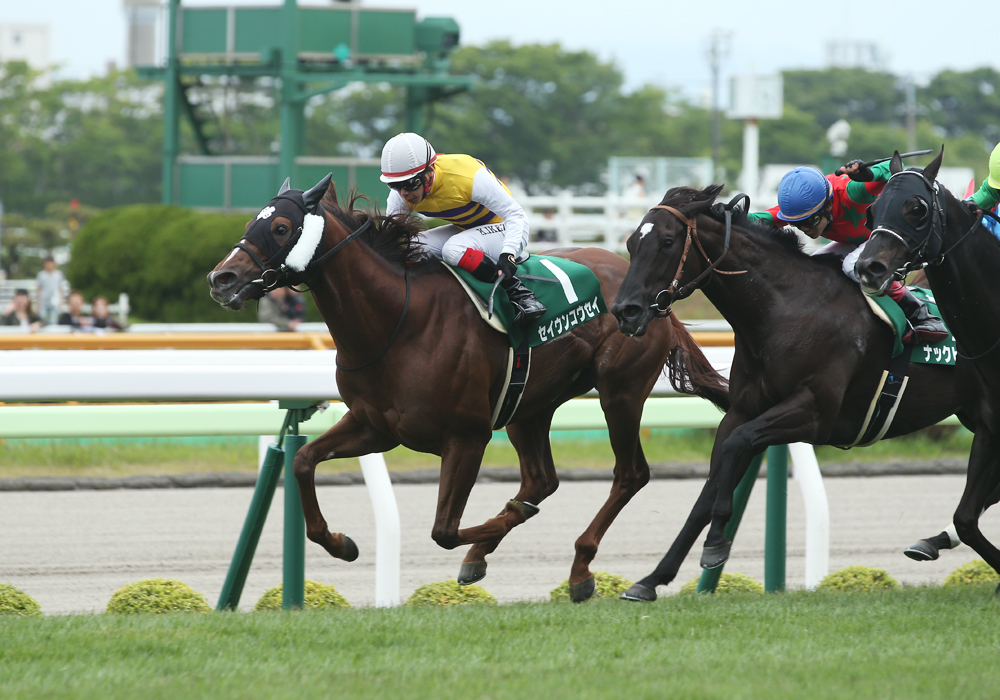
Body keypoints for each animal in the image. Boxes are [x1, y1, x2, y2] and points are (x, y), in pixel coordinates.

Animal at [209, 175, 728, 600]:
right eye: (255, 221)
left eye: (280, 227)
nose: (221, 278)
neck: (398, 321)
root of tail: (653, 295)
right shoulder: (375, 426)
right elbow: (302, 461)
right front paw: (341, 543)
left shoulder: (467, 436)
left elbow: (444, 529)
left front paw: (506, 523)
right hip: (529, 404)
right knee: (541, 479)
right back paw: (488, 552)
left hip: (620, 391)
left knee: (629, 474)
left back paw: (579, 569)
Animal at [608, 186, 968, 600]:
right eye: (631, 243)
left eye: (667, 242)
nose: (625, 311)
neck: (784, 310)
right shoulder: (743, 410)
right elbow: (708, 488)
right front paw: (651, 579)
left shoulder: (813, 414)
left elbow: (737, 447)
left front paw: (715, 543)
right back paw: (937, 541)